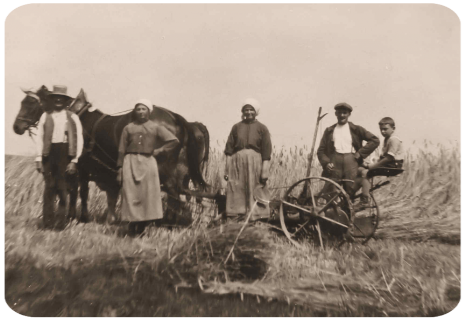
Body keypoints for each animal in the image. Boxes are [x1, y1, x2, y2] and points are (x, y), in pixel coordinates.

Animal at [13, 85, 208, 225]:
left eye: (30, 103)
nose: (16, 127)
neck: (79, 119)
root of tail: (174, 116)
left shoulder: (80, 167)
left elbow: (80, 191)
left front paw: (78, 216)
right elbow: (108, 194)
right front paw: (109, 218)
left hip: (165, 169)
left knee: (174, 192)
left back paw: (168, 222)